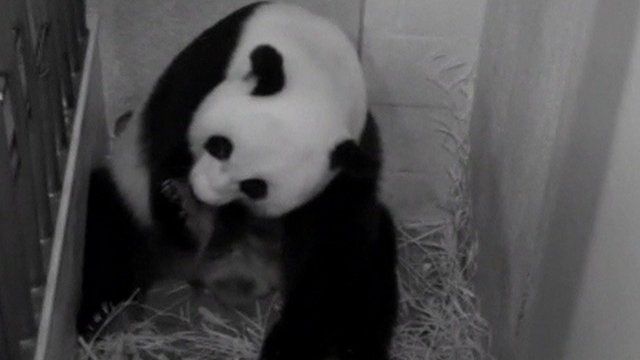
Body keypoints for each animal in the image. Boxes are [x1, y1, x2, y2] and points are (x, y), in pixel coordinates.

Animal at [79, 1, 396, 358]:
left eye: (255, 187)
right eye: (220, 145)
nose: (202, 191)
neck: (317, 70)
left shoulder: (347, 162)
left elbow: (332, 250)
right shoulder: (198, 77)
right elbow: (166, 150)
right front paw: (180, 208)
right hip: (126, 202)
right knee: (106, 232)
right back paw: (105, 318)